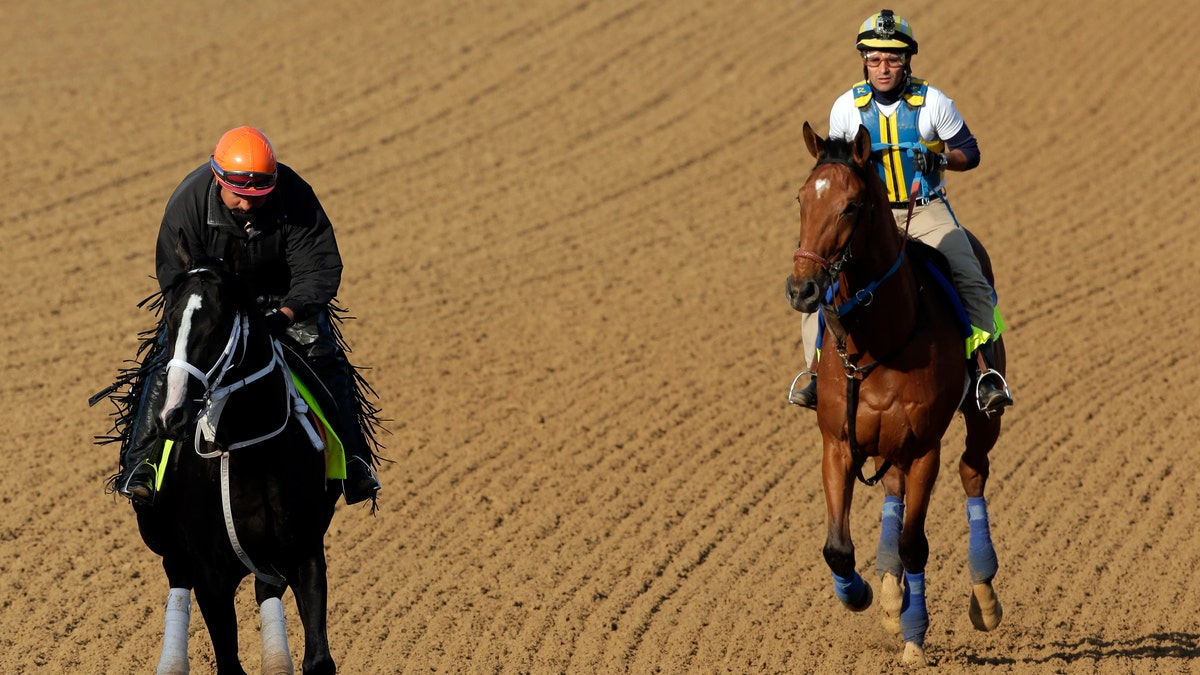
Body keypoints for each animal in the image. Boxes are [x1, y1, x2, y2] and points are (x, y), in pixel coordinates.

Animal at [112, 242, 340, 672]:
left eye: (217, 325)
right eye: (171, 320)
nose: (173, 414)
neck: (250, 457)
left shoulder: (305, 552)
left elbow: (318, 659)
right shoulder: (210, 574)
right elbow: (228, 661)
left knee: (266, 587)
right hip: (165, 540)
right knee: (177, 577)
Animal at [787, 120, 1003, 662]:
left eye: (850, 206)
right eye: (802, 198)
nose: (801, 289)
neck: (881, 342)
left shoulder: (925, 448)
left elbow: (915, 545)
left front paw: (914, 638)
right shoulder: (838, 443)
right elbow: (838, 549)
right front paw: (864, 594)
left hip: (981, 419)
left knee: (973, 473)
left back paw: (985, 598)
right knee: (892, 492)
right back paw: (888, 594)